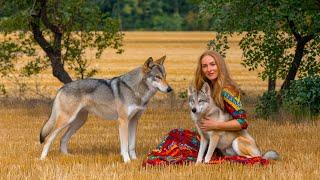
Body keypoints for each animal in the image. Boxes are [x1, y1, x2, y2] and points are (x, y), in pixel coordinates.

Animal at [39, 55, 172, 162]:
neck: (135, 90)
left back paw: (67, 157)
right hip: (66, 120)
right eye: (157, 77)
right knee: (48, 138)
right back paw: (42, 158)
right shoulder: (123, 121)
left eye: (165, 76)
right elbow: (125, 146)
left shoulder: (134, 121)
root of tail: (62, 88)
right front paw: (127, 161)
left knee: (62, 139)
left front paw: (135, 160)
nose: (169, 89)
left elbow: (132, 145)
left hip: (79, 122)